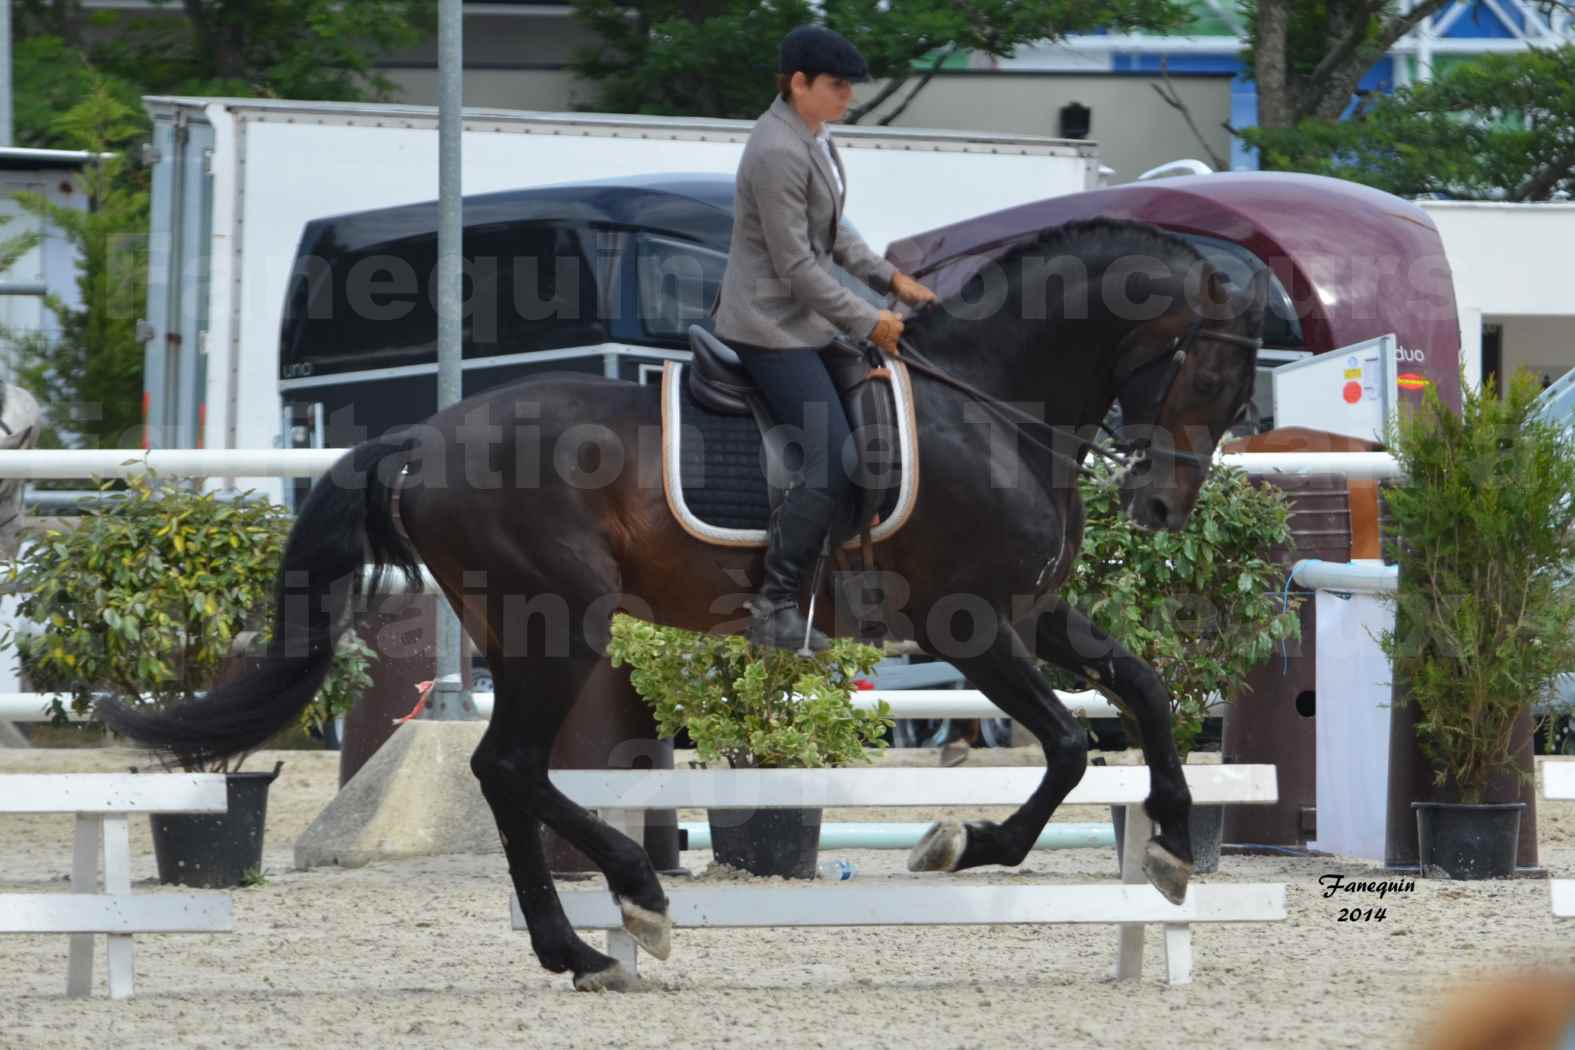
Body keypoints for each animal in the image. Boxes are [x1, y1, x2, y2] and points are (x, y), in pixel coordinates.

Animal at [101, 220, 1266, 994]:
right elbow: (1068, 745)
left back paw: (586, 943)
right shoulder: (966, 628)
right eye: (1210, 375)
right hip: (559, 622)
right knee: (508, 767)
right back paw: (621, 915)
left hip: (519, 629)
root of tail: (422, 437)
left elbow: (1147, 693)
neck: (987, 407)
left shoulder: (1033, 615)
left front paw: (1170, 849)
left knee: (509, 775)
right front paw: (962, 845)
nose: (1161, 507)